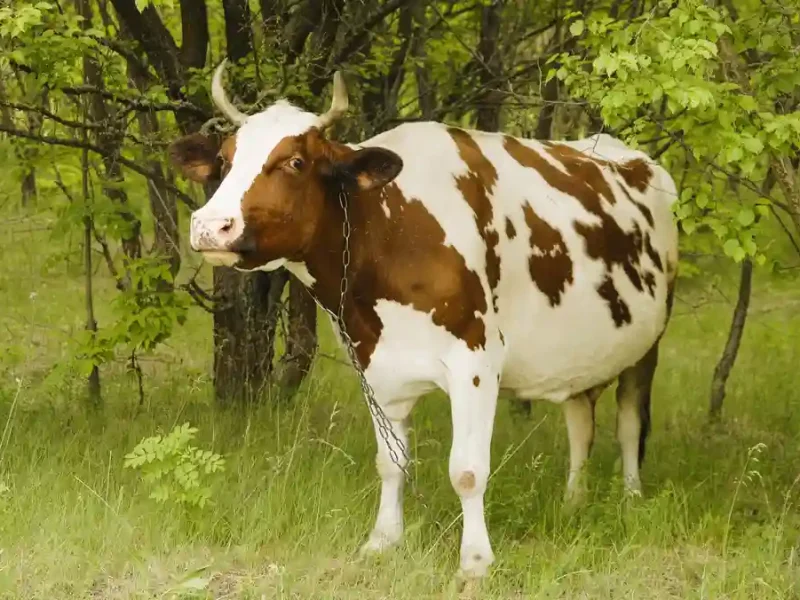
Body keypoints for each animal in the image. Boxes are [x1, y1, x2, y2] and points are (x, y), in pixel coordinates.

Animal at [169, 62, 679, 581]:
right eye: (226, 159)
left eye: (294, 162)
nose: (210, 226)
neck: (389, 231)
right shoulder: (374, 364)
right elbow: (390, 463)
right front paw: (382, 542)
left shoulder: (477, 360)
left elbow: (468, 470)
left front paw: (475, 561)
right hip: (580, 350)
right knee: (580, 418)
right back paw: (573, 501)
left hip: (648, 340)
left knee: (629, 422)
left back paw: (631, 499)